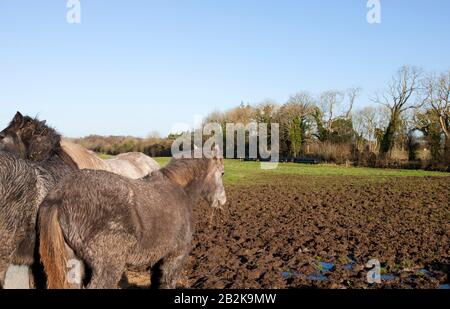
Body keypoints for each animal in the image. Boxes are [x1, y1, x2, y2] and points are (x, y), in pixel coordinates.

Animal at [38, 146, 227, 288]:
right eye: (222, 172)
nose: (222, 200)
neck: (179, 190)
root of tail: (59, 197)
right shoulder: (175, 257)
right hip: (107, 268)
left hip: (73, 264)